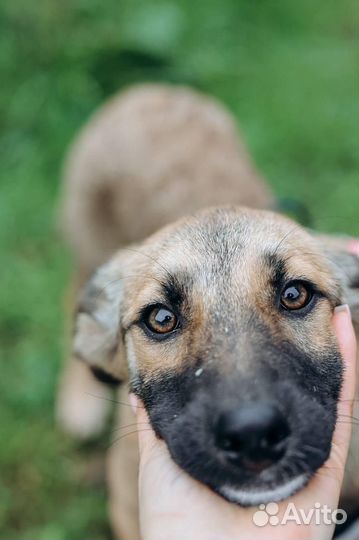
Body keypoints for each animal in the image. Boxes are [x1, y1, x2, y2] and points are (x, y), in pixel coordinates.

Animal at [57, 84, 359, 540]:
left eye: (295, 294)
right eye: (161, 319)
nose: (253, 434)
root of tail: (148, 90)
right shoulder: (126, 508)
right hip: (88, 235)